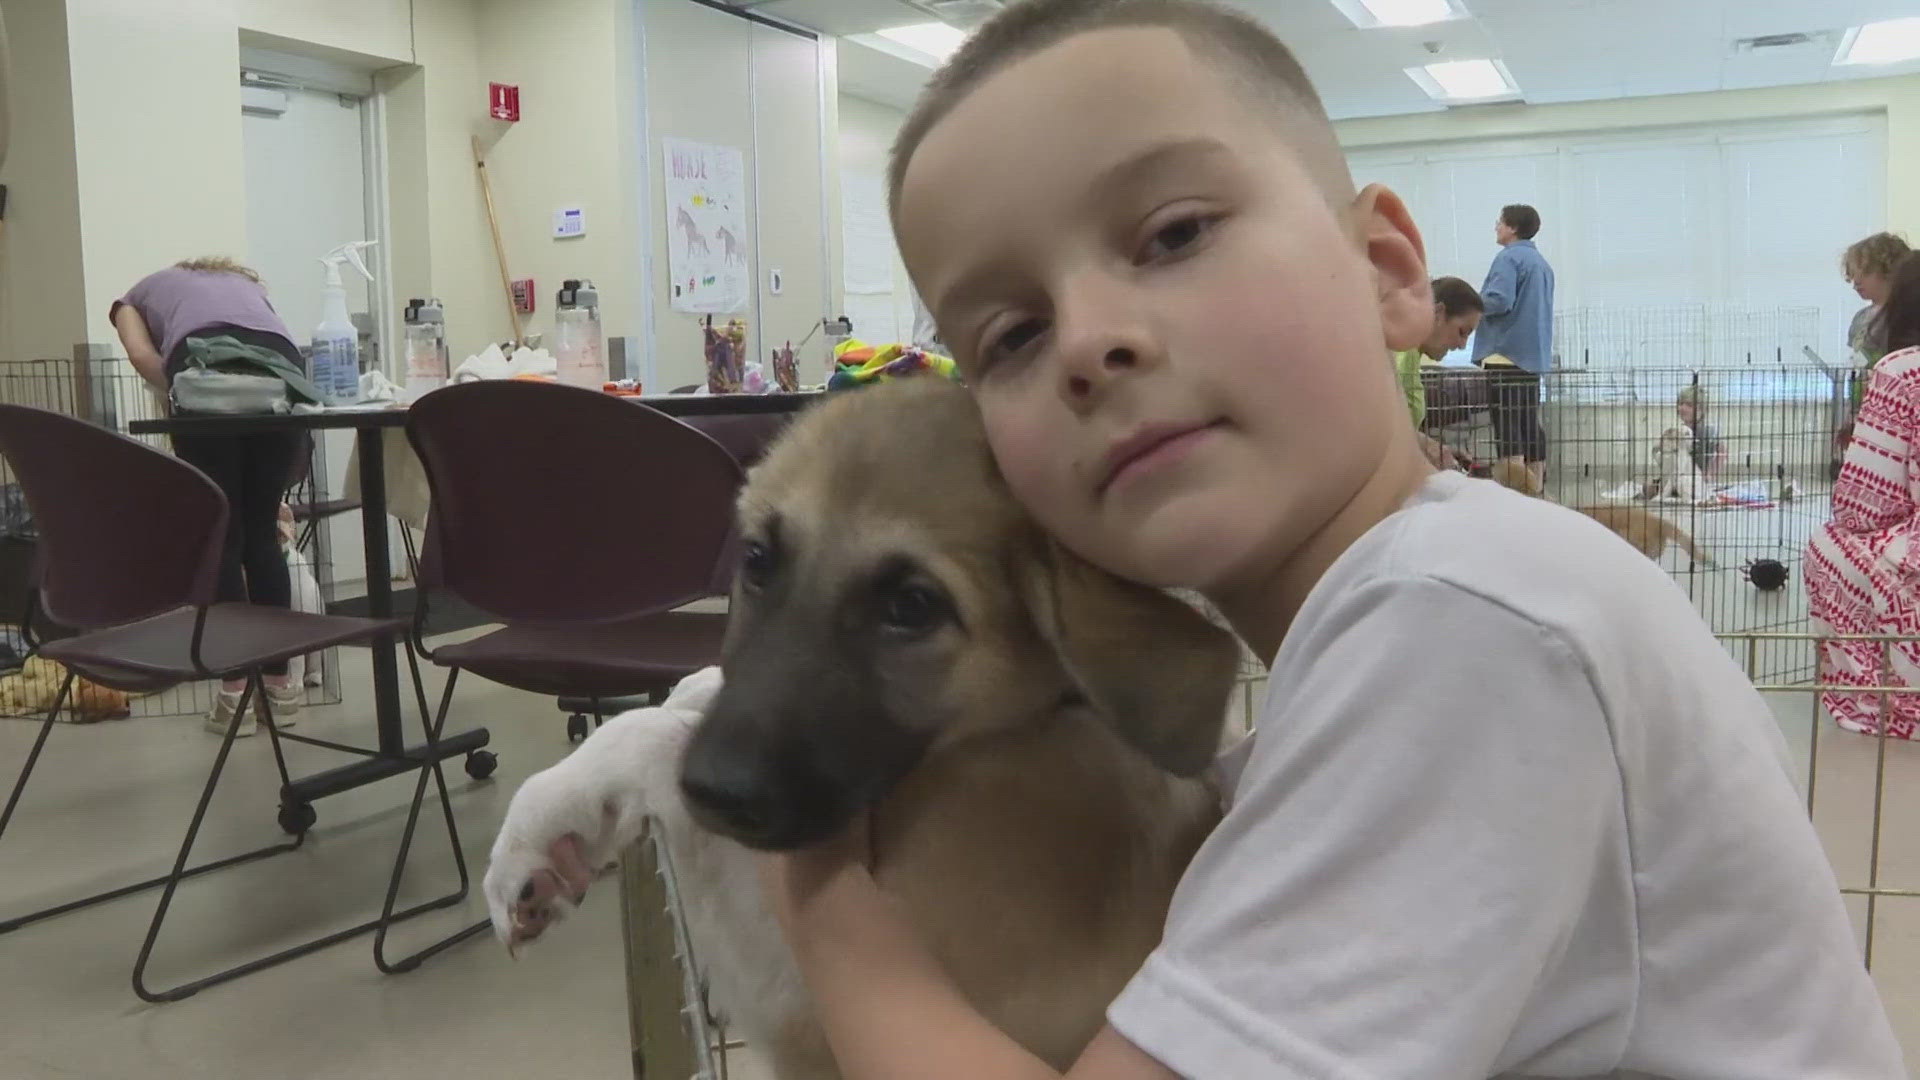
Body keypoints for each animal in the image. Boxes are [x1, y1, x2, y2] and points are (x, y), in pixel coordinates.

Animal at [487, 378, 1236, 1076]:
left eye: (913, 606)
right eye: (756, 560)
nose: (716, 790)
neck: (1028, 722)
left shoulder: (813, 1025)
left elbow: (654, 742)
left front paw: (540, 833)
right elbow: (673, 711)